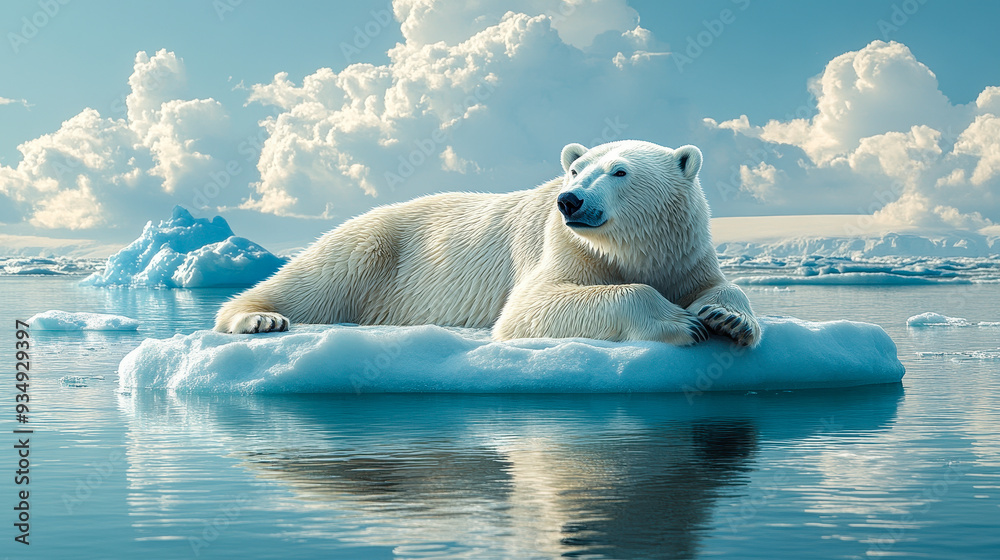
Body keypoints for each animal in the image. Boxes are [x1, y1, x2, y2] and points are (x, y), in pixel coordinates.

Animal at [214, 140, 761, 347]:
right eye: (576, 170)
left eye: (619, 171)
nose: (570, 201)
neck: (633, 247)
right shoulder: (565, 248)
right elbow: (531, 308)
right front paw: (682, 322)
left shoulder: (684, 253)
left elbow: (719, 285)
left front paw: (726, 318)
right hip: (372, 249)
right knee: (311, 282)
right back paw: (259, 318)